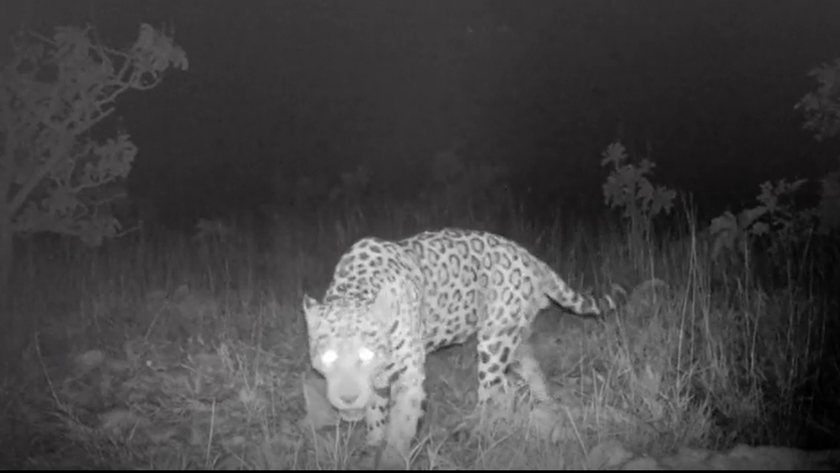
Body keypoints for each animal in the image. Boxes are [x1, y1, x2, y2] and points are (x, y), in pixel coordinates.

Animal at [302, 228, 619, 468]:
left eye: (366, 356)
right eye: (328, 356)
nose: (348, 398)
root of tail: (529, 257)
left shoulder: (410, 377)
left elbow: (402, 425)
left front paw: (391, 457)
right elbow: (376, 413)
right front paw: (371, 443)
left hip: (493, 342)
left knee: (492, 394)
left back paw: (475, 436)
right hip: (514, 338)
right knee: (529, 371)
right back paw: (546, 406)